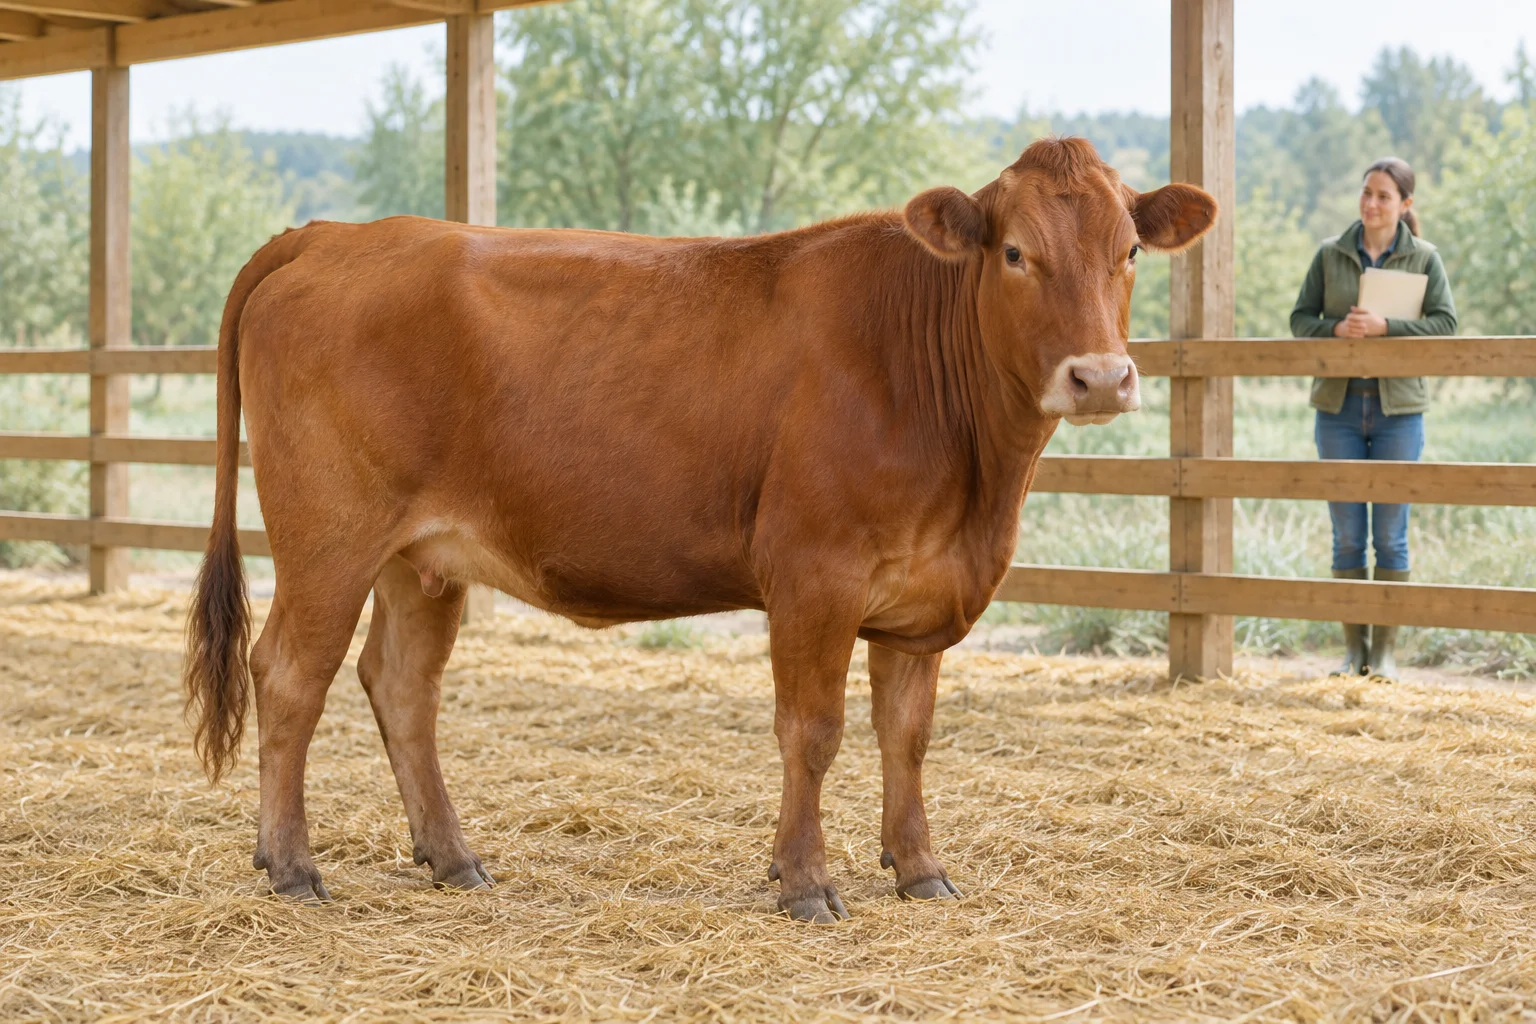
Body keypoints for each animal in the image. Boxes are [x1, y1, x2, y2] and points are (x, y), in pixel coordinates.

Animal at [184, 137, 1214, 923]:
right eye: (1014, 254)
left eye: (1129, 250)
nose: (1100, 377)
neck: (976, 481)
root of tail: (332, 235)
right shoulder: (814, 575)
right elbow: (813, 730)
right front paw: (805, 883)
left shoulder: (921, 594)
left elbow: (907, 735)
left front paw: (921, 870)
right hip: (330, 535)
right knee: (289, 675)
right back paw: (292, 867)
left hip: (422, 557)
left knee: (401, 686)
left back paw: (453, 857)